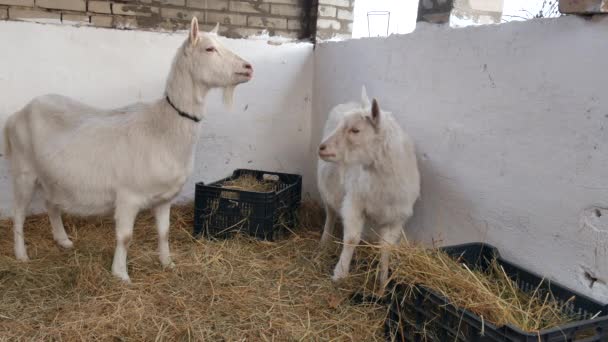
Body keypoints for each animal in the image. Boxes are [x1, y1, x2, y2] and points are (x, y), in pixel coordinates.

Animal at [3, 16, 253, 284]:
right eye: (209, 49)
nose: (249, 67)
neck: (163, 126)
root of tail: (18, 113)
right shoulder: (128, 196)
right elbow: (125, 237)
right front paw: (121, 274)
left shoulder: (165, 198)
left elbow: (164, 232)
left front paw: (168, 263)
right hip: (23, 171)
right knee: (19, 212)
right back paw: (21, 255)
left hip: (52, 176)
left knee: (51, 203)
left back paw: (63, 240)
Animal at [316, 87, 420, 284]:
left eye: (355, 130)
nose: (322, 147)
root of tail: (353, 102)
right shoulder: (354, 203)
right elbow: (351, 238)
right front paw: (340, 273)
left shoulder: (396, 218)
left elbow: (386, 248)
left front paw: (383, 281)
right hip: (327, 186)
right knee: (330, 212)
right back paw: (324, 241)